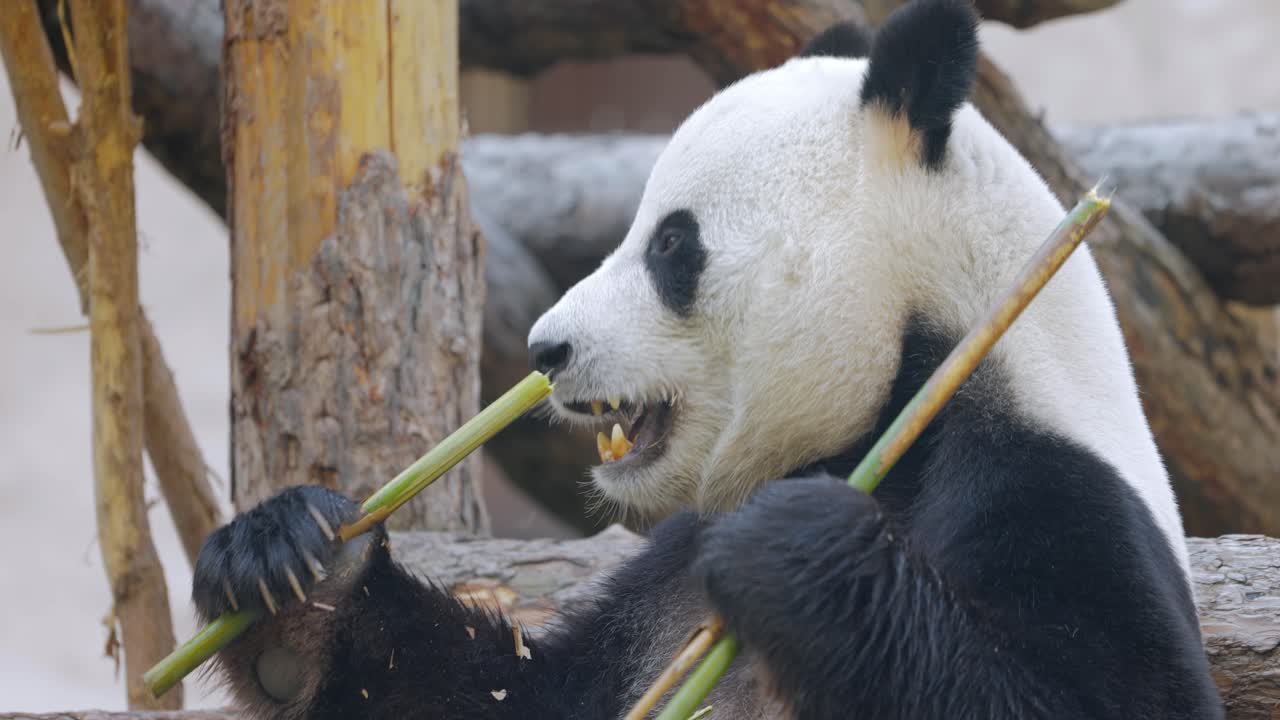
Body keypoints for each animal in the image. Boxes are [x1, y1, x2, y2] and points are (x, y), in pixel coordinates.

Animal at [189, 2, 1218, 712]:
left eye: (673, 246)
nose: (548, 347)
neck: (918, 381)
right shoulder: (665, 580)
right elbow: (519, 694)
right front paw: (294, 570)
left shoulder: (1057, 493)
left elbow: (1099, 695)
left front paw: (795, 543)